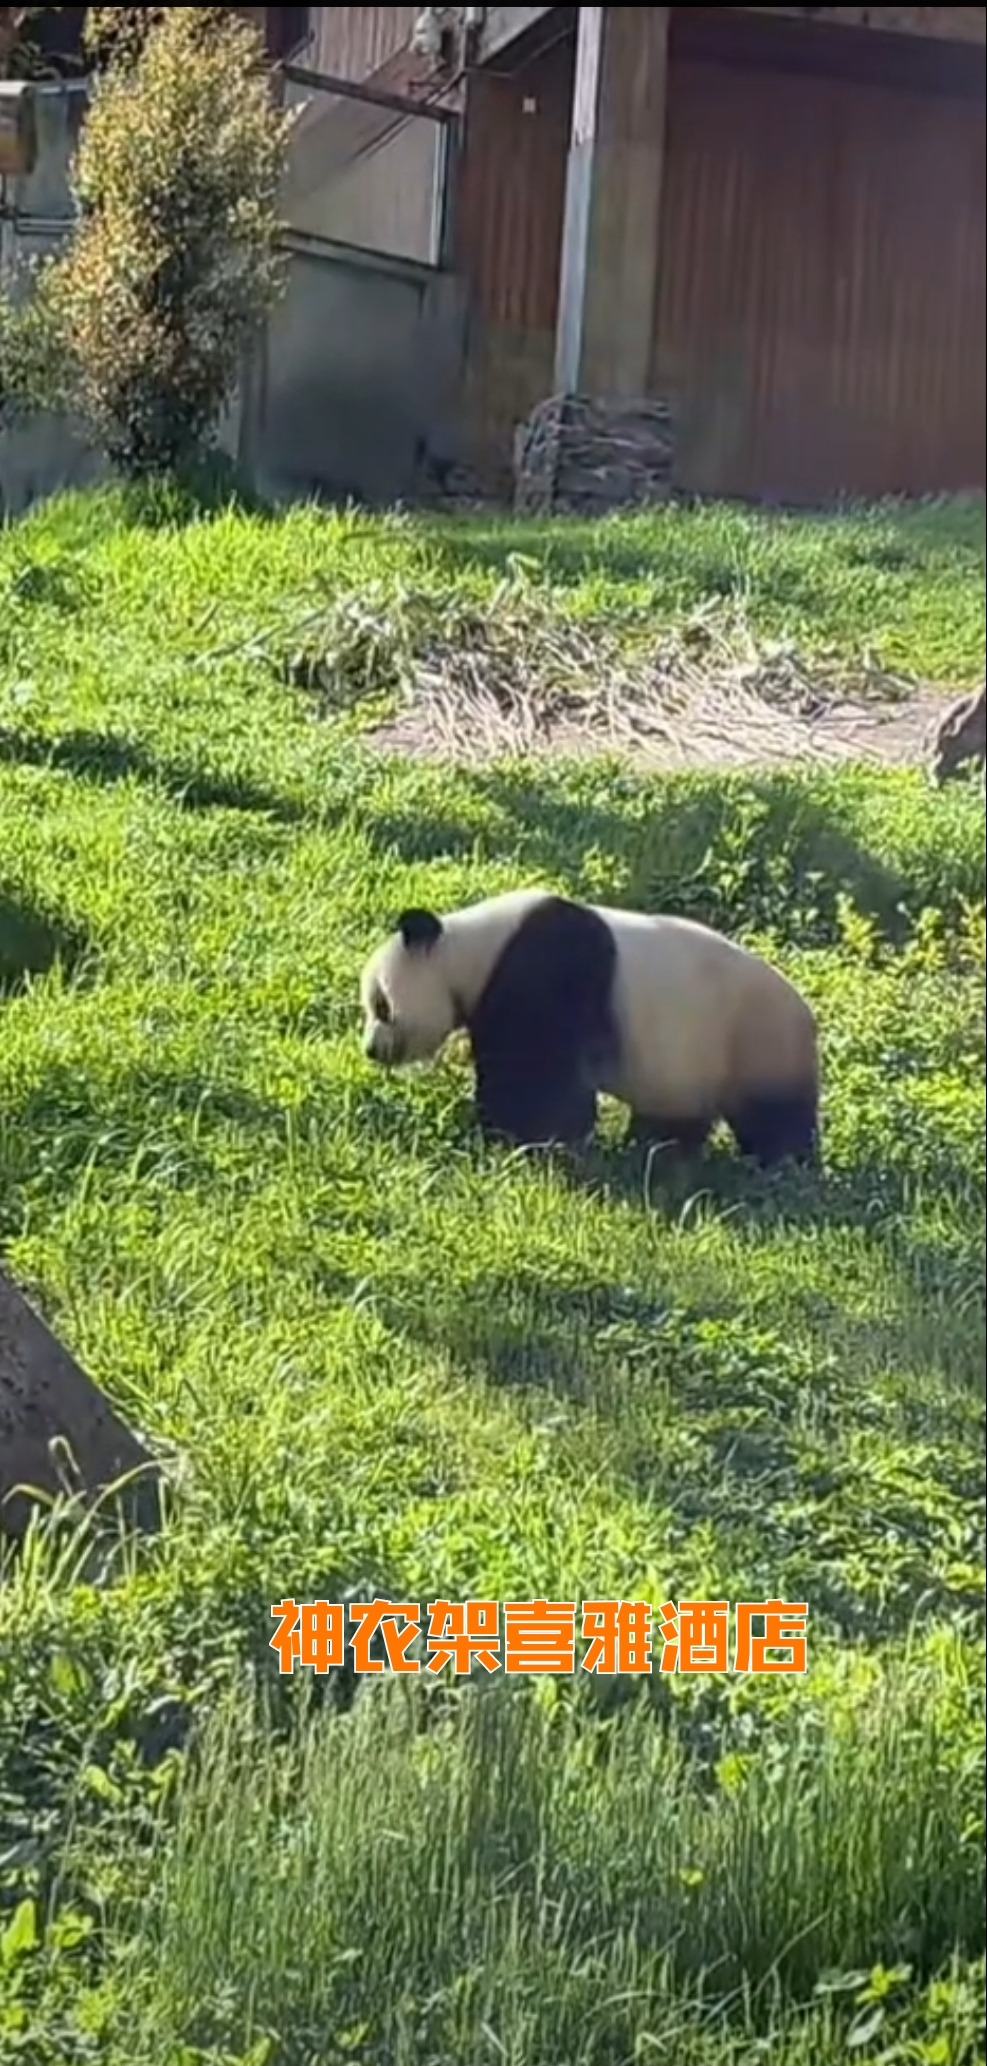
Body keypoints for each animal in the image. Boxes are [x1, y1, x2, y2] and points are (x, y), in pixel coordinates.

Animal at [359, 888, 821, 1173]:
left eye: (381, 1004)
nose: (371, 1050)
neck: (473, 948)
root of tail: (808, 1017)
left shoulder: (546, 968)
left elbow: (536, 1072)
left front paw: (523, 1139)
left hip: (755, 1039)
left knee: (774, 1115)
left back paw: (780, 1165)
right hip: (688, 1063)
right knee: (674, 1115)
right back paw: (658, 1153)